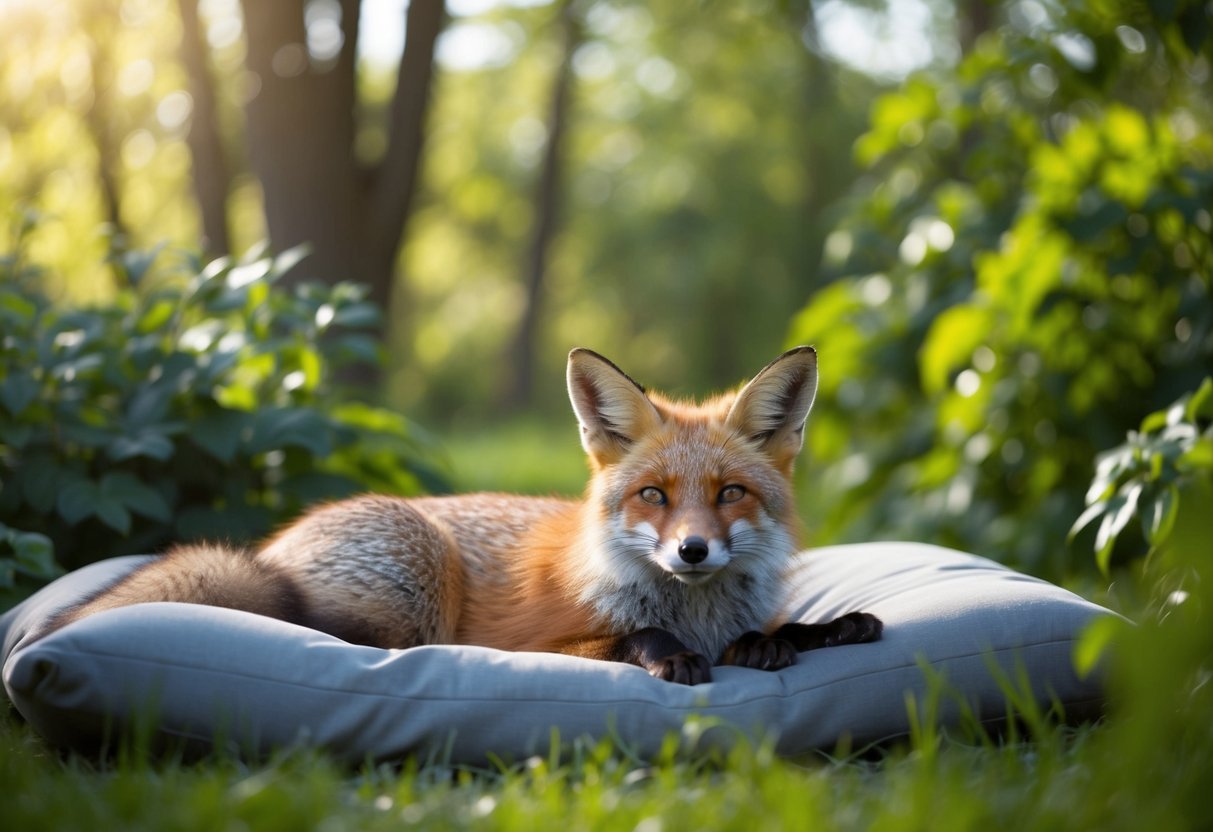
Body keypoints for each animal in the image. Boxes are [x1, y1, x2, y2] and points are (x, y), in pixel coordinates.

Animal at [42, 346, 881, 685]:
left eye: (729, 493)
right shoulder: (542, 643)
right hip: (418, 583)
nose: (693, 552)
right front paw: (671, 654)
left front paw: (804, 632)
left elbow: (781, 628)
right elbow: (633, 636)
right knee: (322, 634)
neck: (694, 609)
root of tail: (271, 550)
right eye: (654, 496)